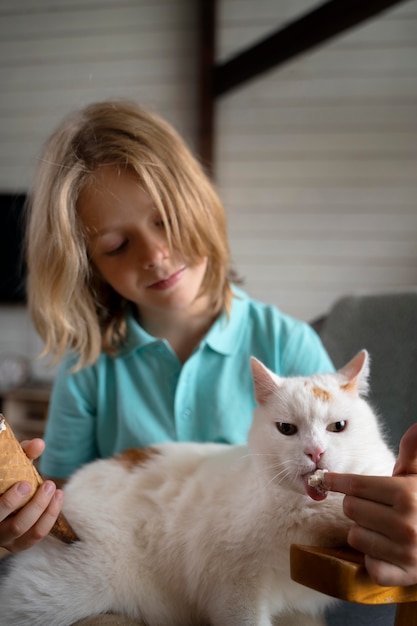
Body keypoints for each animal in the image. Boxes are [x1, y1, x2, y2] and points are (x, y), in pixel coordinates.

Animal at [0, 352, 394, 624]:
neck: (305, 511)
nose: (315, 452)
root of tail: (68, 487)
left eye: (338, 427)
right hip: (55, 594)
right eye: (286, 429)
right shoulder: (234, 589)